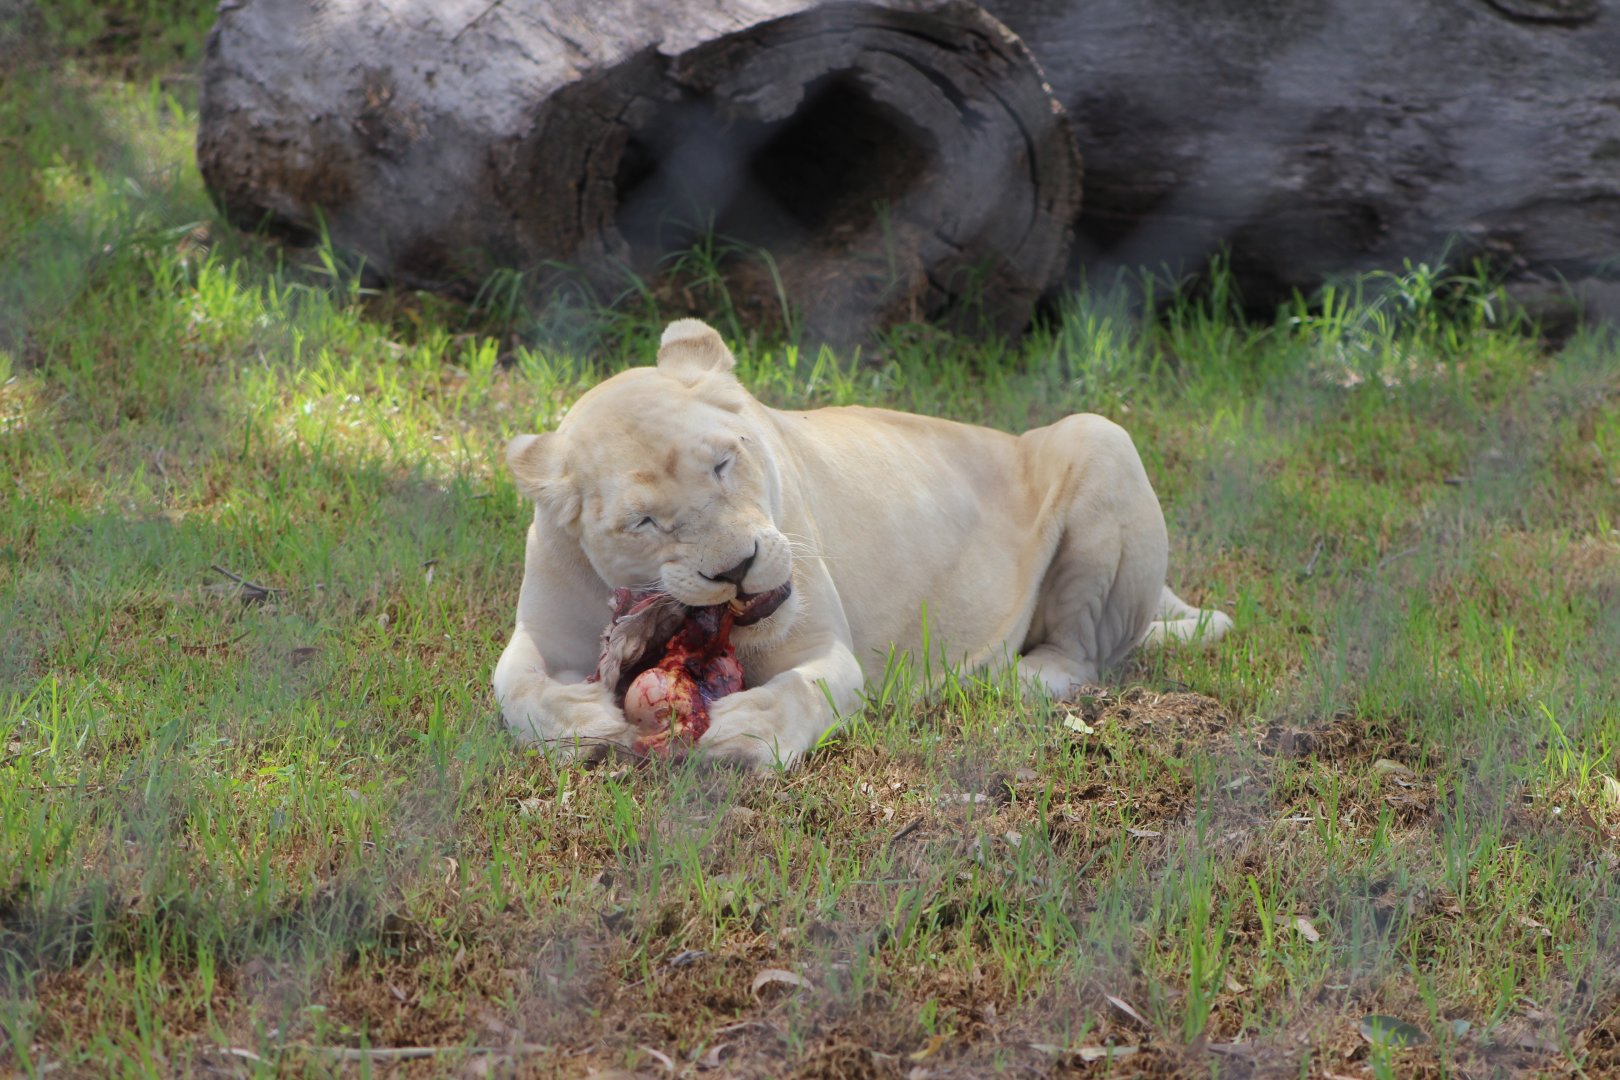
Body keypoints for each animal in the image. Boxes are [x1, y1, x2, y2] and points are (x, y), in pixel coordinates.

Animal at [493, 318, 1231, 769]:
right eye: (643, 523)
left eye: (724, 463)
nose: (738, 567)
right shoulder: (540, 625)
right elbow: (512, 682)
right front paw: (583, 718)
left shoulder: (826, 652)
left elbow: (799, 692)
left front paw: (742, 732)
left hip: (1102, 434)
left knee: (1089, 653)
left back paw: (1018, 676)